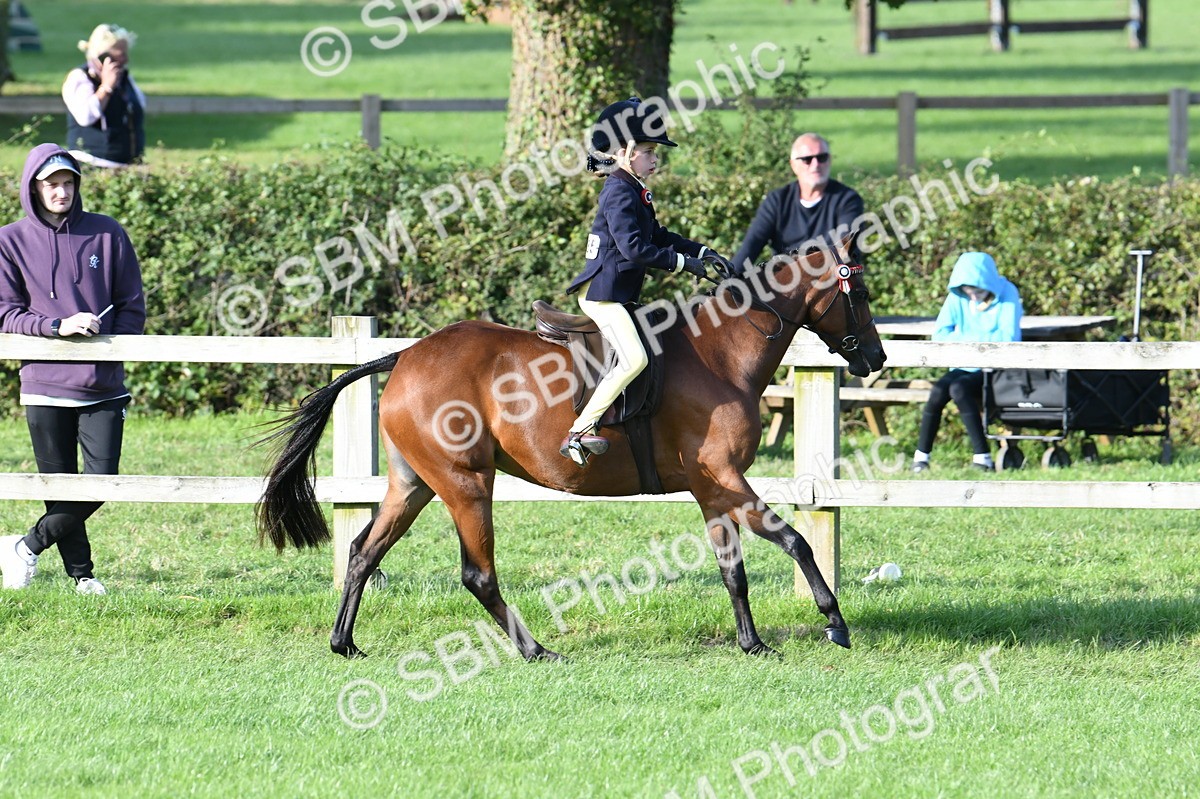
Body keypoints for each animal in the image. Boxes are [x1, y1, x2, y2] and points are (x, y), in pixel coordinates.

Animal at [257, 244, 886, 659]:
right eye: (858, 293)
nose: (876, 358)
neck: (721, 353)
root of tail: (406, 355)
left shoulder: (712, 490)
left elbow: (734, 570)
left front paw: (752, 643)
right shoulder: (725, 479)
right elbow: (796, 540)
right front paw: (834, 622)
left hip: (413, 485)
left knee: (364, 552)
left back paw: (345, 643)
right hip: (466, 484)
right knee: (478, 575)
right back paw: (535, 650)